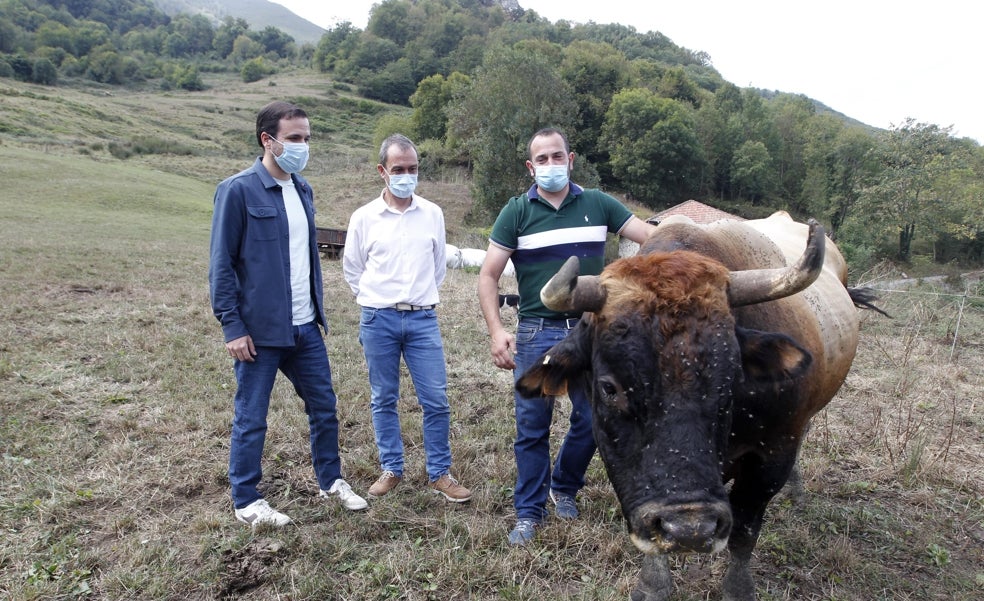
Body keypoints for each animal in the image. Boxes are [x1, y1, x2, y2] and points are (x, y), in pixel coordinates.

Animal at [516, 212, 884, 600]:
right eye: (609, 387)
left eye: (733, 376)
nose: (689, 528)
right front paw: (653, 583)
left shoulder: (772, 457)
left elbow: (744, 530)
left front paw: (738, 587)